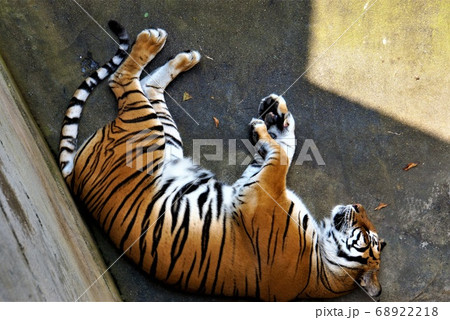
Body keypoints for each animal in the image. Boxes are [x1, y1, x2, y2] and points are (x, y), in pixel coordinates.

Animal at [58, 21, 384, 302]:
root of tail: (75, 176)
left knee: (122, 82)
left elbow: (280, 156)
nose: (357, 205)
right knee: (148, 85)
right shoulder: (257, 181)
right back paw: (183, 56)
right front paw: (278, 115)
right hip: (164, 134)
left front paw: (265, 125)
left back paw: (152, 41)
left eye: (370, 238)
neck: (322, 267)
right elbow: (285, 149)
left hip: (147, 131)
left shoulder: (260, 192)